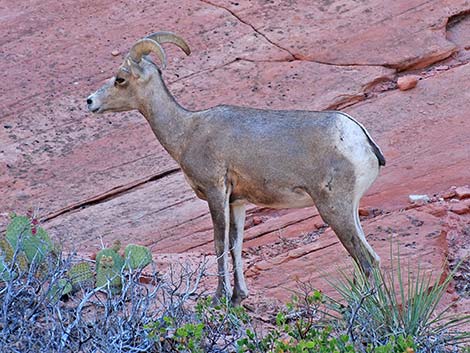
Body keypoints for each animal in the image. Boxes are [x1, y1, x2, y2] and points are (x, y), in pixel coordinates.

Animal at [87, 31, 386, 304]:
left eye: (120, 79)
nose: (90, 101)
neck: (186, 132)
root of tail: (360, 137)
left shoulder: (216, 192)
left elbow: (218, 244)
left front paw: (220, 297)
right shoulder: (237, 202)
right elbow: (236, 245)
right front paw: (238, 297)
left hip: (333, 209)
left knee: (366, 260)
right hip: (350, 210)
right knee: (372, 258)